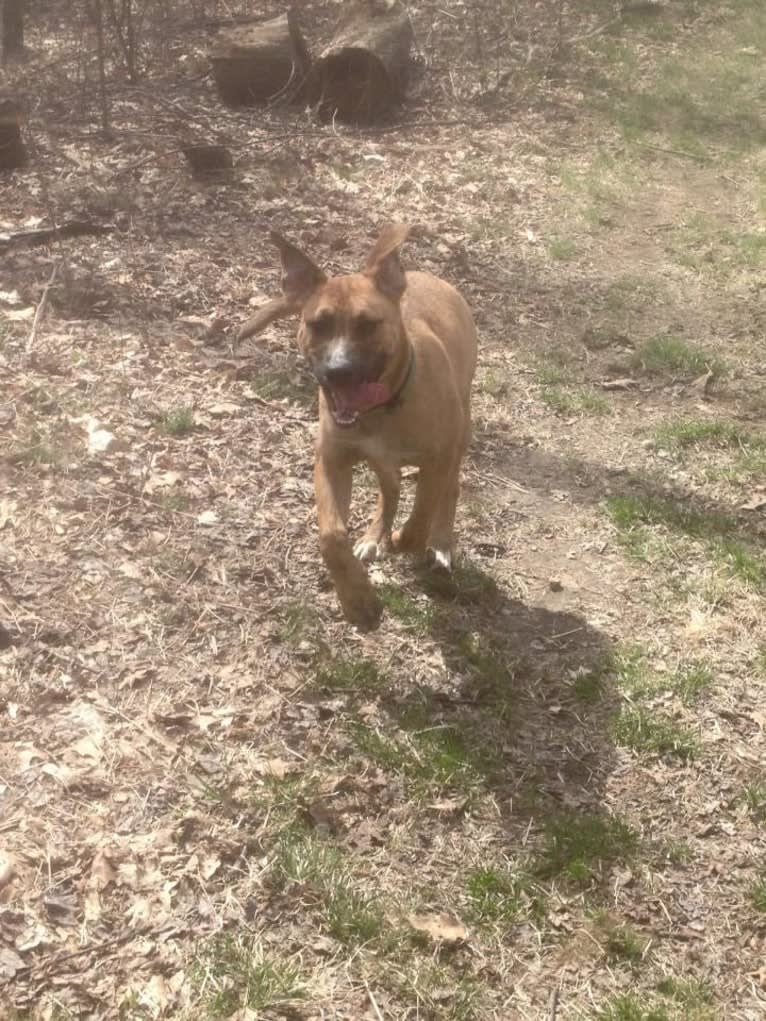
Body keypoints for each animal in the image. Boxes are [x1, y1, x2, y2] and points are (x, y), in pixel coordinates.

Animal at [241, 225, 480, 628]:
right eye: (318, 324)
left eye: (368, 324)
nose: (339, 372)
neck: (382, 410)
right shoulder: (332, 460)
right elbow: (331, 536)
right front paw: (358, 600)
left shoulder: (438, 458)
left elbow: (421, 516)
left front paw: (403, 540)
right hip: (384, 464)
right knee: (390, 491)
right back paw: (373, 537)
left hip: (460, 433)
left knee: (449, 490)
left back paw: (440, 542)